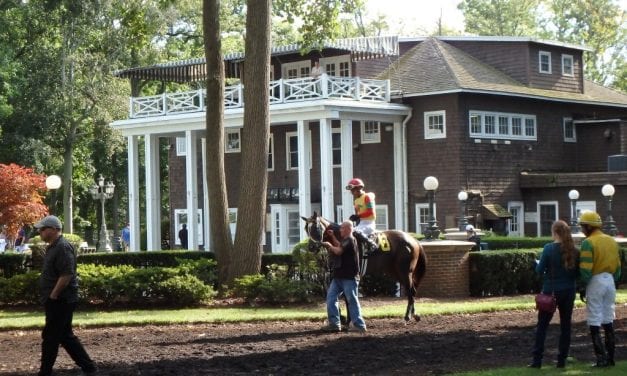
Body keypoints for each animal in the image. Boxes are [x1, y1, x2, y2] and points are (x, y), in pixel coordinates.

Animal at [302, 213, 430, 322]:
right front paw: (342, 317)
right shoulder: (336, 274)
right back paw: (414, 315)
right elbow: (334, 295)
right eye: (306, 229)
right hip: (395, 272)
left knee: (411, 290)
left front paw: (348, 320)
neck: (341, 238)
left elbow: (348, 297)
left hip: (405, 271)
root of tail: (414, 239)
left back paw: (408, 316)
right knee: (411, 290)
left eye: (315, 227)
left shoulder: (353, 275)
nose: (311, 247)